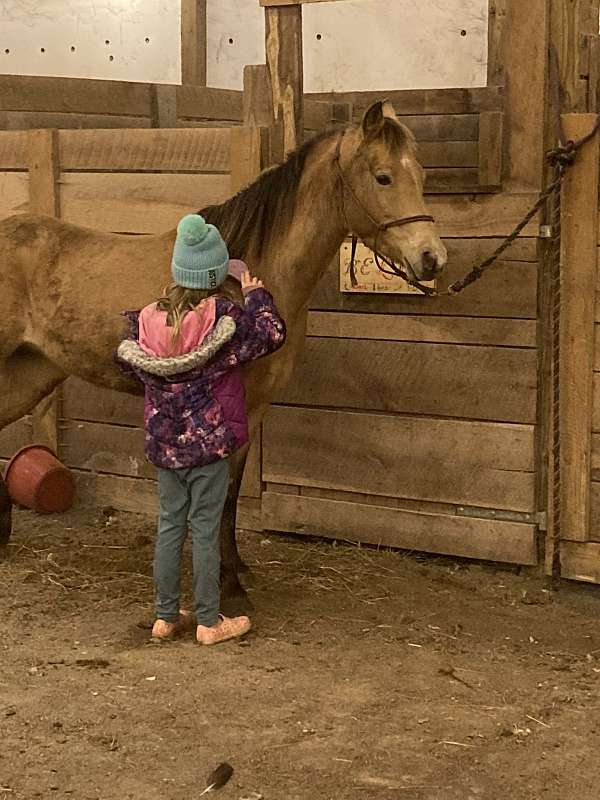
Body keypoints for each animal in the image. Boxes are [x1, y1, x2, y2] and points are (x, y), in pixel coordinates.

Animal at [0, 101, 446, 612]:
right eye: (383, 177)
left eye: (421, 174)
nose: (432, 258)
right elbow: (222, 494)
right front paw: (229, 586)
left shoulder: (254, 410)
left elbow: (231, 497)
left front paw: (236, 570)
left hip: (30, 373)